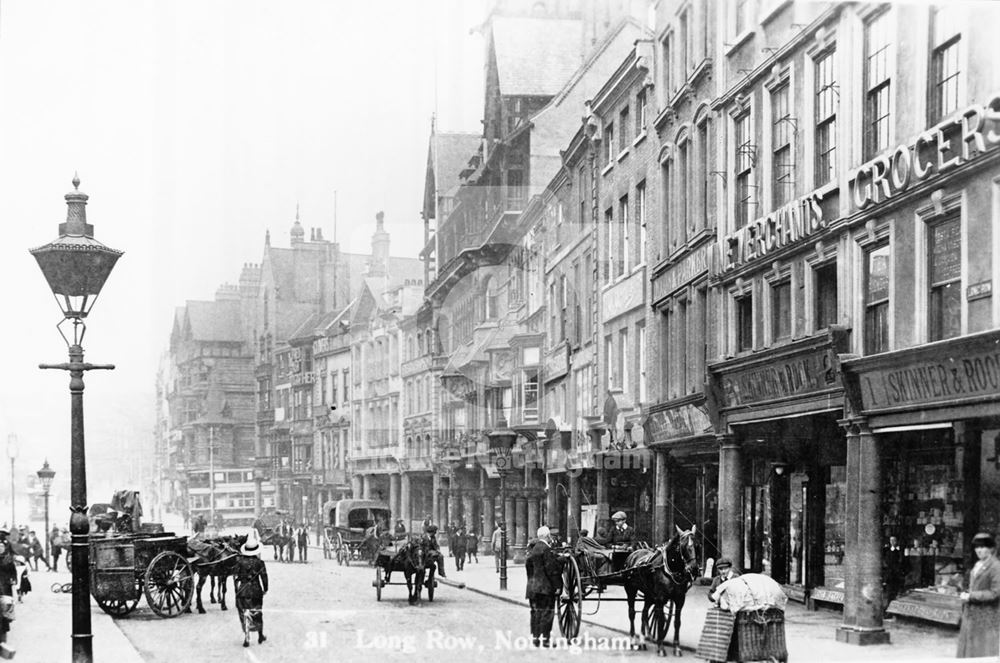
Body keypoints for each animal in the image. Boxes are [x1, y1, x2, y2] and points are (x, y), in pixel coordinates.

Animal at [620, 528, 700, 656]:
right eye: (683, 546)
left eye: (697, 545)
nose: (694, 569)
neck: (669, 569)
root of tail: (632, 554)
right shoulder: (660, 598)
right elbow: (661, 621)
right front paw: (661, 647)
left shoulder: (680, 599)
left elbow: (677, 622)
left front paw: (677, 648)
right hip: (630, 590)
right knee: (632, 613)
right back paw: (632, 641)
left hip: (648, 594)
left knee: (644, 613)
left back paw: (642, 641)